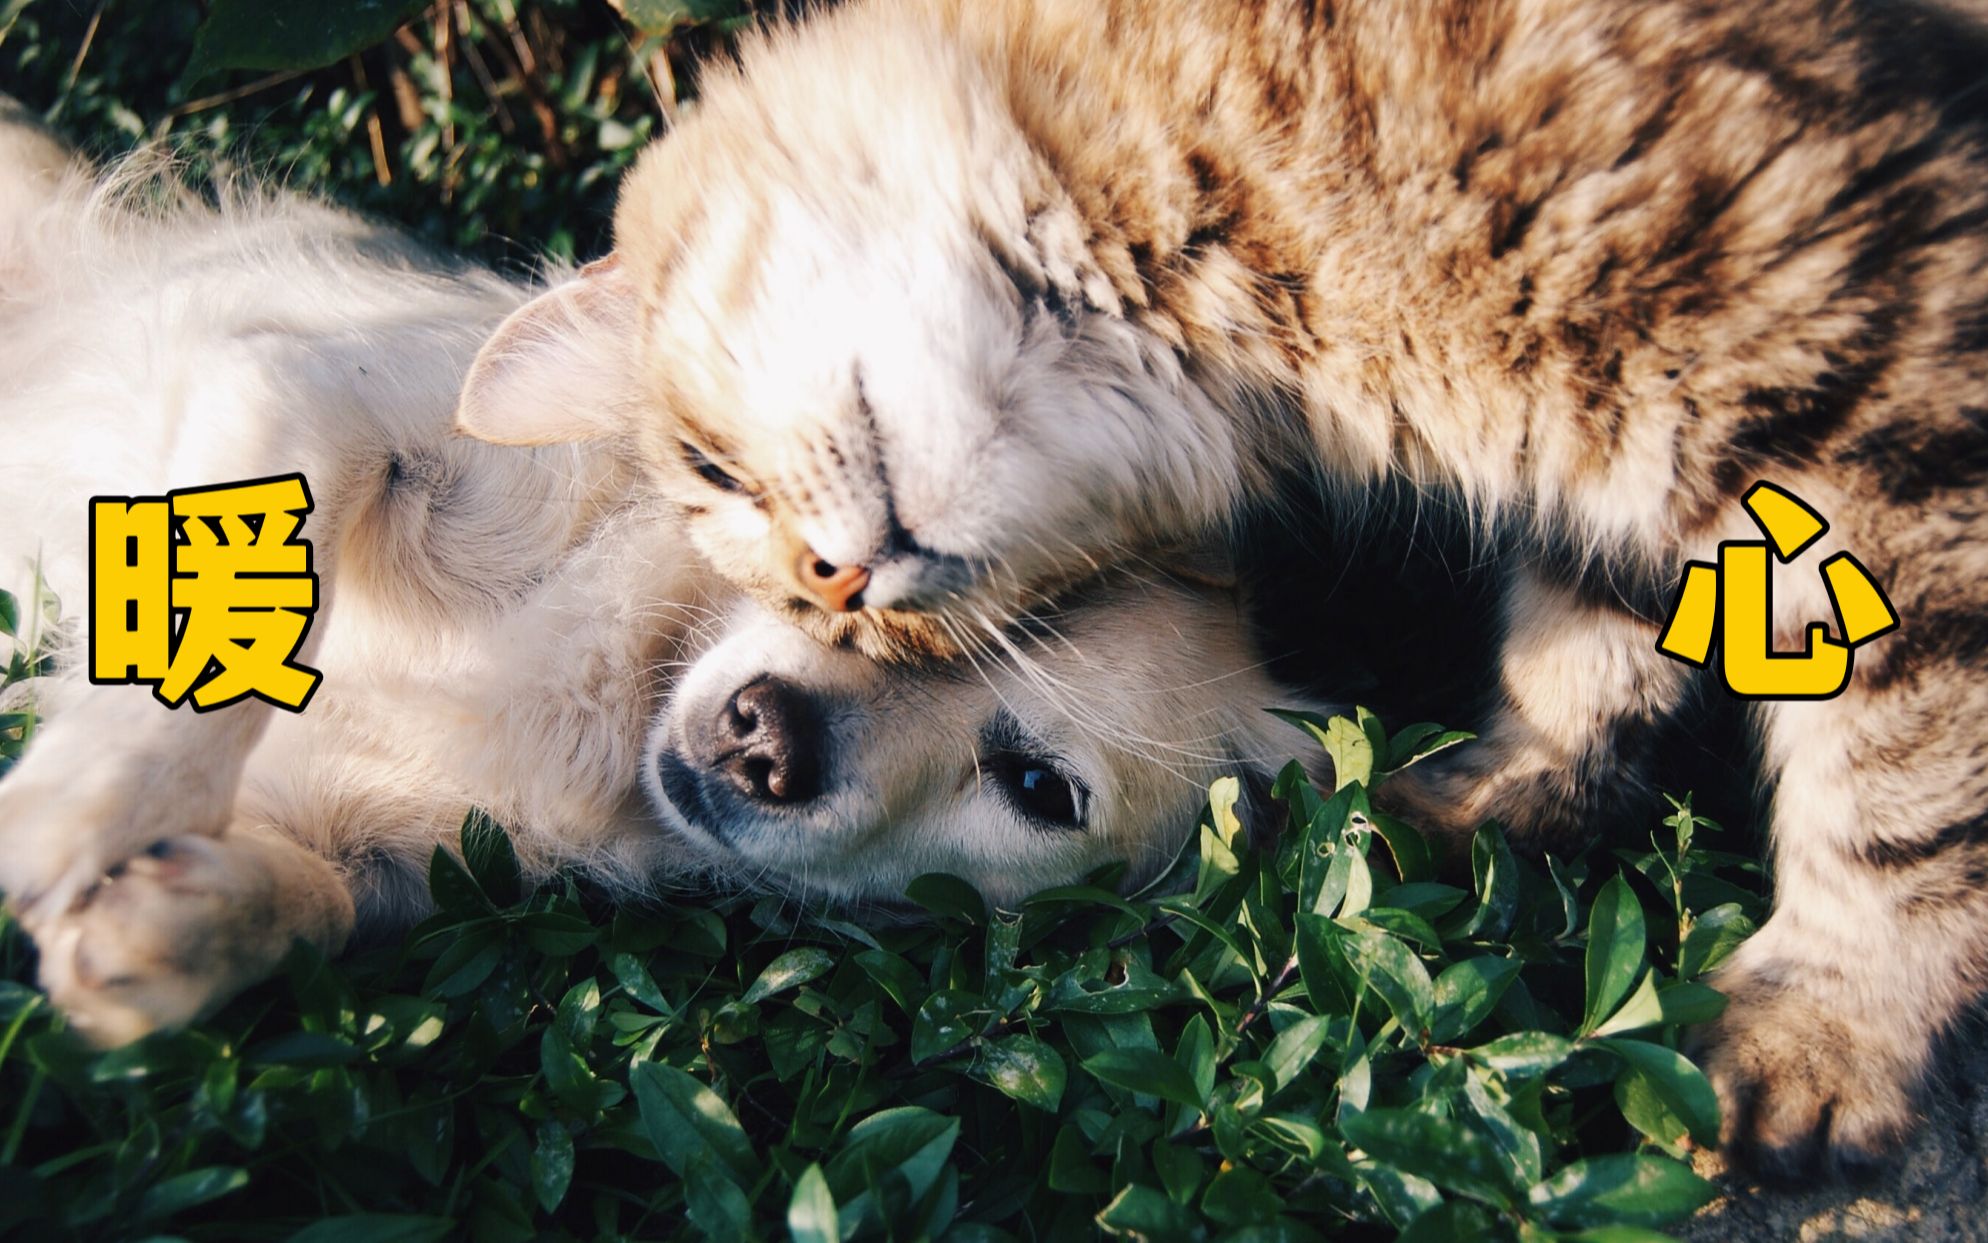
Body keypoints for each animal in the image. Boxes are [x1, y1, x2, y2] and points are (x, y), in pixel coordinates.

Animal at [457, 0, 1988, 1169]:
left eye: (711, 467)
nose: (836, 588)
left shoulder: (1879, 406)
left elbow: (1901, 791)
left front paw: (1828, 1024)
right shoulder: (1614, 468)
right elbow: (1584, 651)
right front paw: (1491, 799)